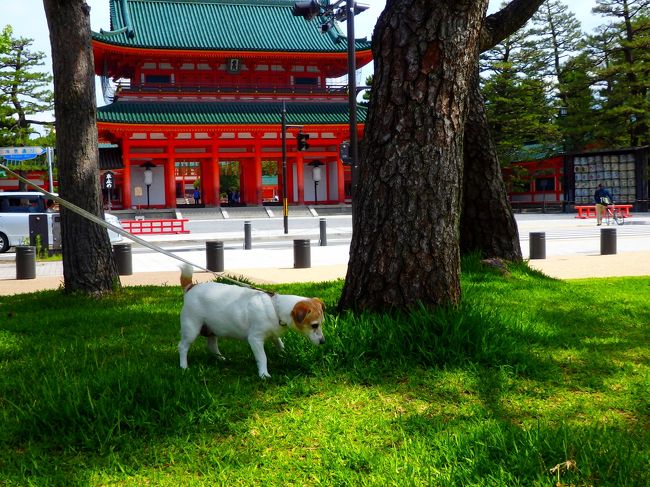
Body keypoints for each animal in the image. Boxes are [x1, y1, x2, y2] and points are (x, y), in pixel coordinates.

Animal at [177, 264, 324, 380]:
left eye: (321, 323)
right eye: (314, 325)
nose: (323, 342)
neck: (275, 308)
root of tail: (190, 287)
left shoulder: (273, 333)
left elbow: (279, 343)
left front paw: (284, 353)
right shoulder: (255, 339)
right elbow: (263, 357)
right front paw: (264, 374)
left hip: (212, 328)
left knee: (211, 345)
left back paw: (220, 359)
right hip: (191, 328)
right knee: (183, 347)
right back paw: (184, 367)